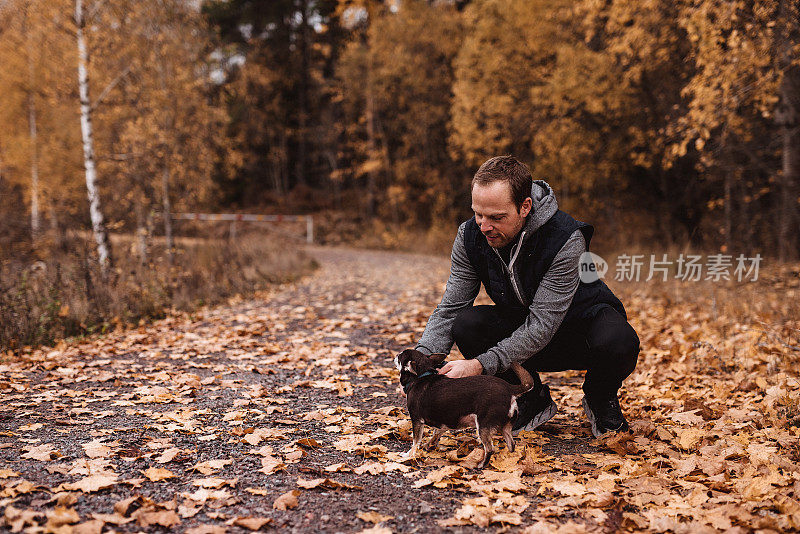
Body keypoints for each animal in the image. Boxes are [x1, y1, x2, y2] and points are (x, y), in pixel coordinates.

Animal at [396, 350, 536, 466]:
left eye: (400, 357)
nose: (396, 355)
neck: (422, 375)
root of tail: (509, 389)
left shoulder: (417, 421)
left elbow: (415, 441)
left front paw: (408, 455)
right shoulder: (443, 422)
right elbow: (436, 433)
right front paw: (429, 445)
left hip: (483, 425)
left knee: (490, 448)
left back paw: (481, 464)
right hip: (505, 427)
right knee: (511, 444)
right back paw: (510, 459)